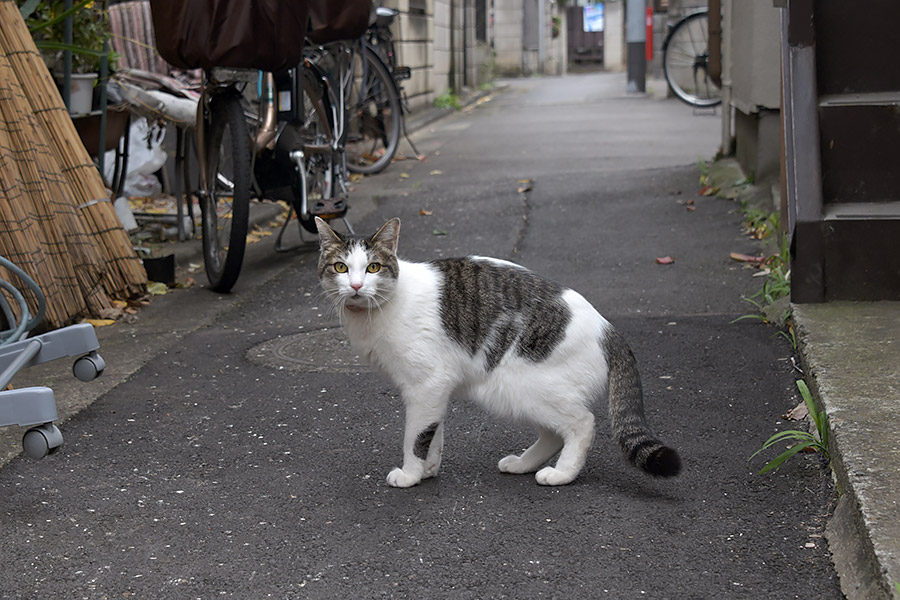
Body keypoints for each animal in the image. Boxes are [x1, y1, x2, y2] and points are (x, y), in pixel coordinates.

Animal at [312, 217, 680, 488]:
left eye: (373, 268)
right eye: (341, 268)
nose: (356, 286)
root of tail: (609, 329)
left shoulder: (425, 384)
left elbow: (415, 436)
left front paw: (411, 474)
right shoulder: (435, 390)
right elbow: (433, 432)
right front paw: (429, 470)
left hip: (516, 386)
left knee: (581, 424)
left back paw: (562, 474)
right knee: (553, 432)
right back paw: (523, 464)